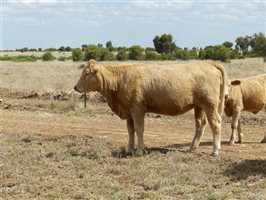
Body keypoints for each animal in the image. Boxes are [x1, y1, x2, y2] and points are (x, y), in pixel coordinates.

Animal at [74, 59, 228, 156]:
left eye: (87, 73)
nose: (76, 87)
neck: (120, 80)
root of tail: (208, 63)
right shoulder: (128, 112)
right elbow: (130, 131)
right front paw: (129, 149)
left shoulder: (137, 109)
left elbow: (139, 129)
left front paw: (139, 151)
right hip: (199, 106)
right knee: (200, 124)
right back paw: (192, 148)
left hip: (210, 104)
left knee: (215, 123)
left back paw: (215, 150)